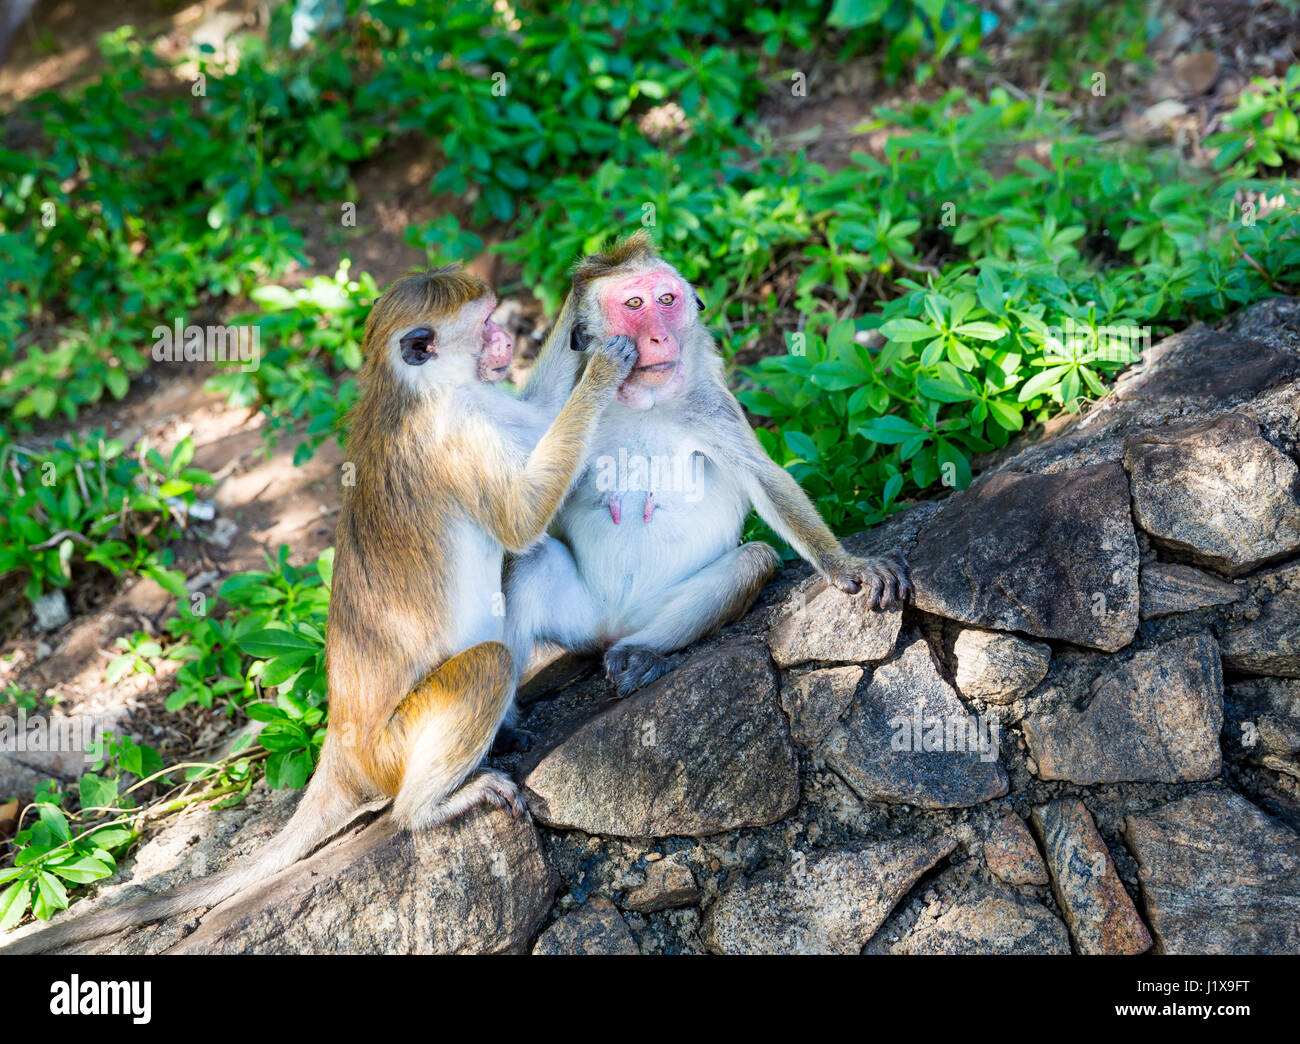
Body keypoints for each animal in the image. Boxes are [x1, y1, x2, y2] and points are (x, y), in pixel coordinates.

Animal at [2, 267, 634, 956]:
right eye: (487, 322)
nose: (505, 340)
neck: (418, 392)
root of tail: (341, 750)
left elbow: (540, 418)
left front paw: (590, 280)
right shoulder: (459, 432)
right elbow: (521, 521)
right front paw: (605, 366)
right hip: (394, 748)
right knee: (486, 665)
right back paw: (430, 808)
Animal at [501, 232, 909, 696]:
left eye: (666, 299)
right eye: (634, 304)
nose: (660, 339)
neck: (645, 401)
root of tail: (610, 625)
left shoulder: (710, 405)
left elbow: (764, 479)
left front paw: (846, 565)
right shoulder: (560, 410)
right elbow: (521, 507)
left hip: (651, 611)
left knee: (752, 562)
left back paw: (640, 652)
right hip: (580, 614)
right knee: (526, 561)